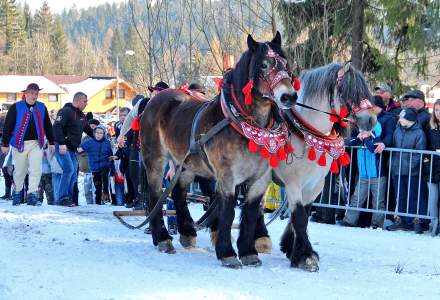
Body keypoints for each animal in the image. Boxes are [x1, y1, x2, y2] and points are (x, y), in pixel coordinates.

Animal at [139, 33, 298, 270]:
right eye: (263, 64)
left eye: (285, 64)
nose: (289, 96)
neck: (242, 125)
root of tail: (154, 101)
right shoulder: (226, 176)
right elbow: (228, 210)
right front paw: (227, 254)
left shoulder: (260, 178)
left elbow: (251, 212)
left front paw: (249, 252)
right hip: (155, 160)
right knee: (156, 194)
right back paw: (163, 239)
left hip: (185, 164)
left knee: (178, 192)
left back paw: (187, 232)